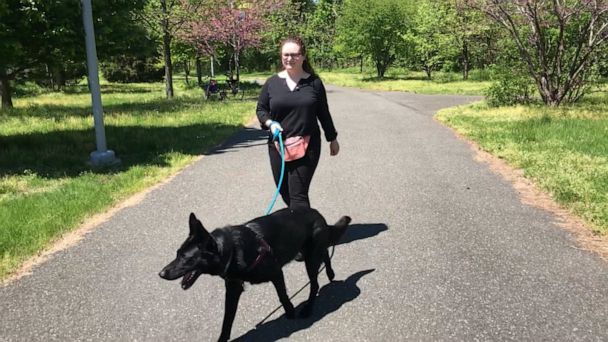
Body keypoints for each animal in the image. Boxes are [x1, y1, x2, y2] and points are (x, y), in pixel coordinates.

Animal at [159, 207, 352, 340]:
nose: (161, 273)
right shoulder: (233, 290)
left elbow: (283, 296)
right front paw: (223, 339)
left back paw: (308, 308)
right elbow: (227, 319)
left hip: (310, 261)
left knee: (315, 283)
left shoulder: (276, 273)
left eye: (185, 257)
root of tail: (318, 214)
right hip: (308, 253)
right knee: (325, 253)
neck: (232, 250)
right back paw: (330, 273)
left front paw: (290, 313)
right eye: (177, 253)